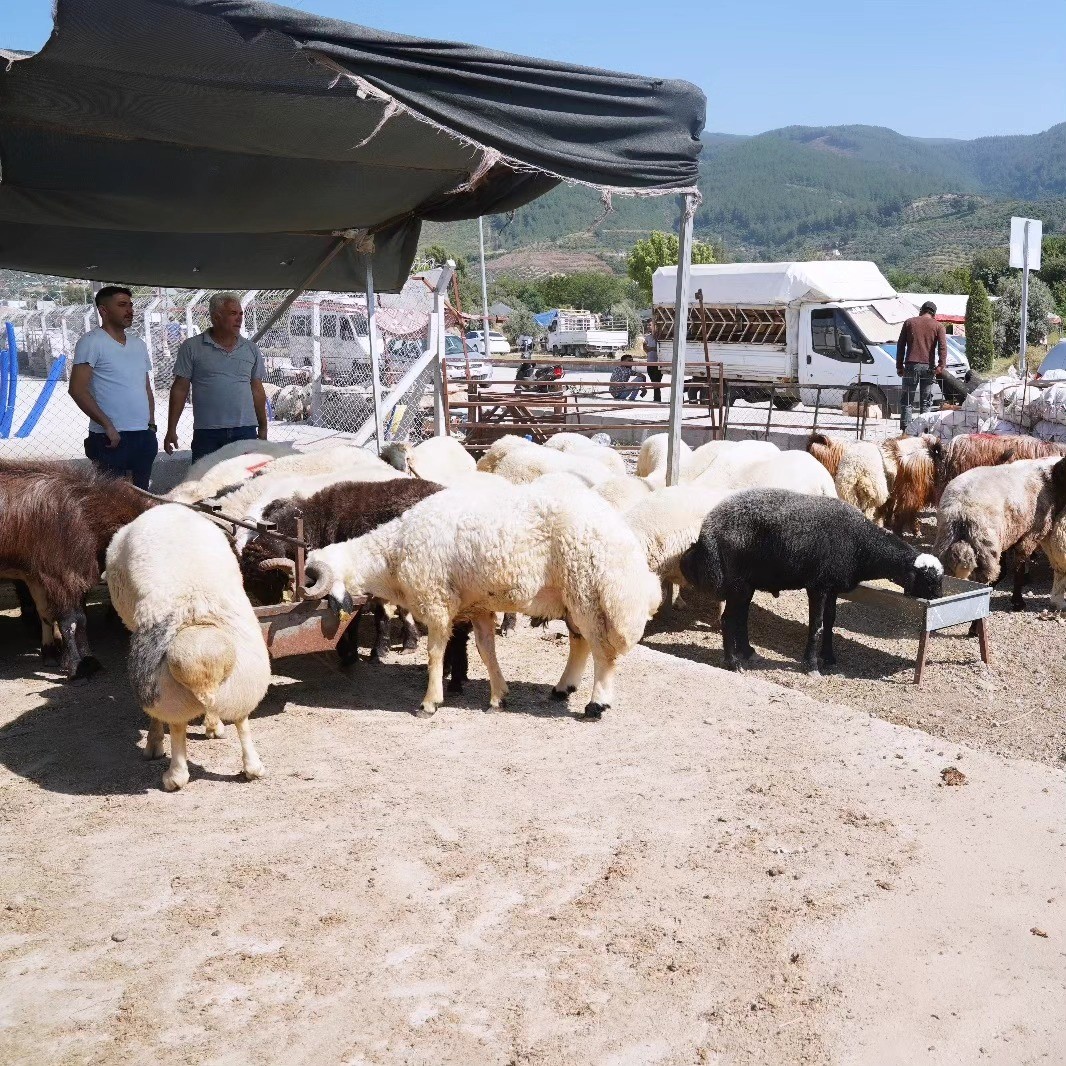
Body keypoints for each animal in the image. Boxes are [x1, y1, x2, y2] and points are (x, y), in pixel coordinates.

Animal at [0, 458, 152, 673]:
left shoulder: (68, 575)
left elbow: (79, 619)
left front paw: (87, 660)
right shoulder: (59, 575)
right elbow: (69, 620)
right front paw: (75, 666)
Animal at [105, 505, 270, 793]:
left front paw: (154, 744)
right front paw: (213, 726)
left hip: (163, 688)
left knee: (177, 725)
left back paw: (174, 775)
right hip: (246, 674)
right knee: (241, 717)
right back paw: (252, 766)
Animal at [304, 479, 660, 720]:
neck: (391, 555)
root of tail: (620, 530)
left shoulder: (436, 603)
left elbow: (435, 654)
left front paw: (430, 702)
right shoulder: (478, 607)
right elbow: (486, 651)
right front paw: (498, 697)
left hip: (590, 591)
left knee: (601, 650)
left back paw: (596, 704)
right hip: (573, 596)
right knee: (579, 642)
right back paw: (563, 688)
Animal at [682, 488, 942, 673]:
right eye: (929, 580)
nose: (939, 599)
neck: (862, 546)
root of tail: (710, 526)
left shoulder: (833, 586)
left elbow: (830, 621)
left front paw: (829, 657)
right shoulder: (817, 585)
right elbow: (816, 625)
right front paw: (811, 665)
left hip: (747, 583)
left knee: (741, 618)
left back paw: (748, 652)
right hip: (737, 582)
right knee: (728, 619)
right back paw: (733, 662)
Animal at [933, 456, 1066, 609]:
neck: (1051, 479)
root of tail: (961, 509)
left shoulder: (1006, 536)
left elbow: (1005, 569)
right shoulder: (1029, 535)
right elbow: (1018, 569)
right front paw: (1018, 602)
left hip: (947, 541)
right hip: (985, 545)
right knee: (982, 576)